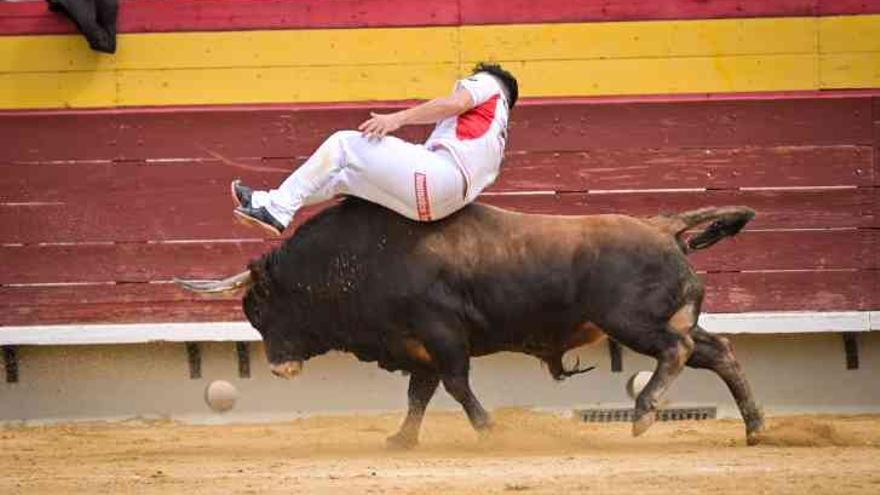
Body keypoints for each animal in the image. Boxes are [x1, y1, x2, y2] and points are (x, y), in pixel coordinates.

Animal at [177, 200, 764, 448]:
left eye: (261, 308)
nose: (278, 368)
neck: (355, 259)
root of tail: (663, 227)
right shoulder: (416, 346)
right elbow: (419, 394)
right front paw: (401, 440)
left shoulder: (441, 335)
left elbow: (457, 387)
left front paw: (488, 430)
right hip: (659, 318)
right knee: (718, 350)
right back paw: (755, 427)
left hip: (631, 321)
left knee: (677, 350)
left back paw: (645, 412)